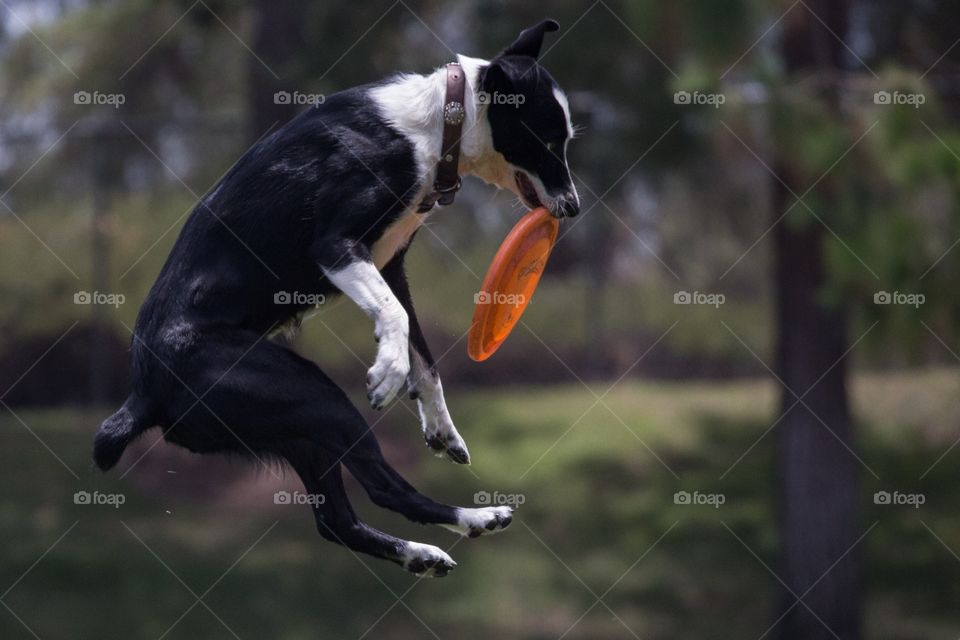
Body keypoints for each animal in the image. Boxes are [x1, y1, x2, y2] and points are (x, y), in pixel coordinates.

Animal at [95, 20, 576, 576]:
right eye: (548, 138)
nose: (574, 206)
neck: (437, 125)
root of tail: (142, 394)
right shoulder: (336, 246)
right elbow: (395, 320)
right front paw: (387, 373)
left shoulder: (389, 266)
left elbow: (424, 355)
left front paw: (440, 427)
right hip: (314, 396)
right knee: (386, 490)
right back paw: (475, 519)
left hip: (298, 427)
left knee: (336, 521)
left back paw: (422, 554)